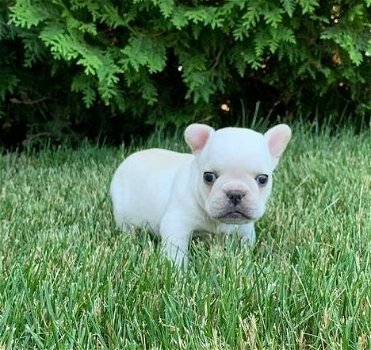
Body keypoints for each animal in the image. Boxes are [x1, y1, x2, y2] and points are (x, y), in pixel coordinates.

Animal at [110, 124, 294, 266]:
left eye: (263, 179)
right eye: (208, 177)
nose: (235, 193)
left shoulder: (244, 229)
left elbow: (245, 244)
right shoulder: (177, 224)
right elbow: (176, 251)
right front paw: (178, 271)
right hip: (122, 214)